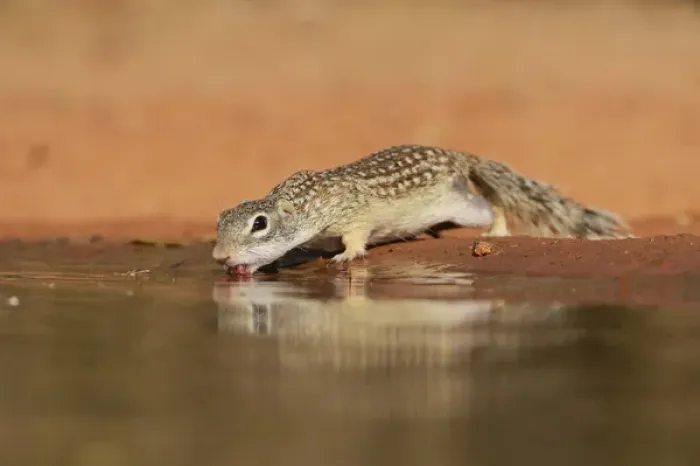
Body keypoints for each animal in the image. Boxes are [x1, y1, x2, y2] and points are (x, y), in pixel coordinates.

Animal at [213, 144, 632, 275]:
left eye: (260, 224)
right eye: (219, 219)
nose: (219, 257)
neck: (307, 200)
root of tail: (459, 156)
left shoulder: (354, 215)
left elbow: (356, 238)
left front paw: (345, 255)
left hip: (460, 206)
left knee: (491, 205)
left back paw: (496, 231)